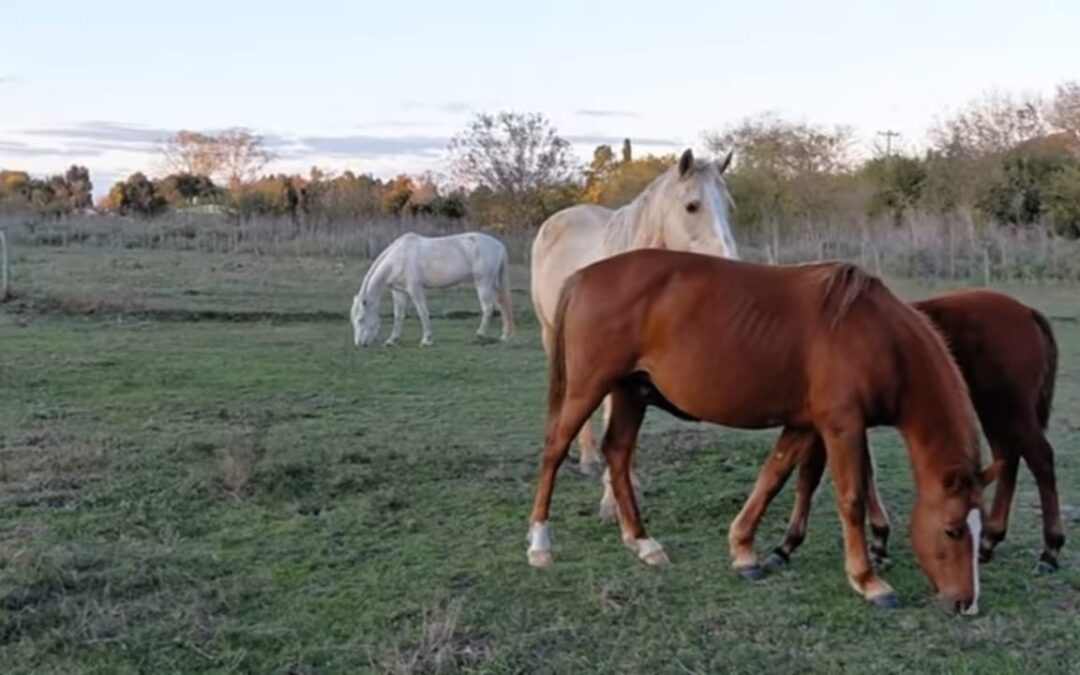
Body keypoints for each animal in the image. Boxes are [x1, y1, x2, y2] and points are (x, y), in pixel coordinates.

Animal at [350, 232, 513, 347]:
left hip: (483, 282)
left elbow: (422, 312)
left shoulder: (415, 289)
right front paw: (392, 340)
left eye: (361, 319)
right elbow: (399, 315)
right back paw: (505, 336)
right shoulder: (399, 292)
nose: (359, 344)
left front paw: (426, 340)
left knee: (488, 307)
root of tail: (499, 246)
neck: (398, 259)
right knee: (502, 305)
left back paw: (480, 334)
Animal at [526, 250, 999, 613]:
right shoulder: (841, 425)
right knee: (554, 450)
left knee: (618, 453)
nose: (966, 603)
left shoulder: (805, 425)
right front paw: (867, 581)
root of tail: (583, 277)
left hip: (630, 392)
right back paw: (540, 544)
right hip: (588, 388)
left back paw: (642, 542)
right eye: (953, 530)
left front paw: (744, 550)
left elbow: (774, 478)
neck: (876, 336)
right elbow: (850, 497)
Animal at [728, 289, 1064, 576]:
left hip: (1009, 408)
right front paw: (878, 541)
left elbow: (809, 476)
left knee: (1040, 458)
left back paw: (1049, 551)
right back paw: (989, 542)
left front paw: (786, 545)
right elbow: (860, 472)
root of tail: (1026, 311)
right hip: (993, 409)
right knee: (1007, 458)